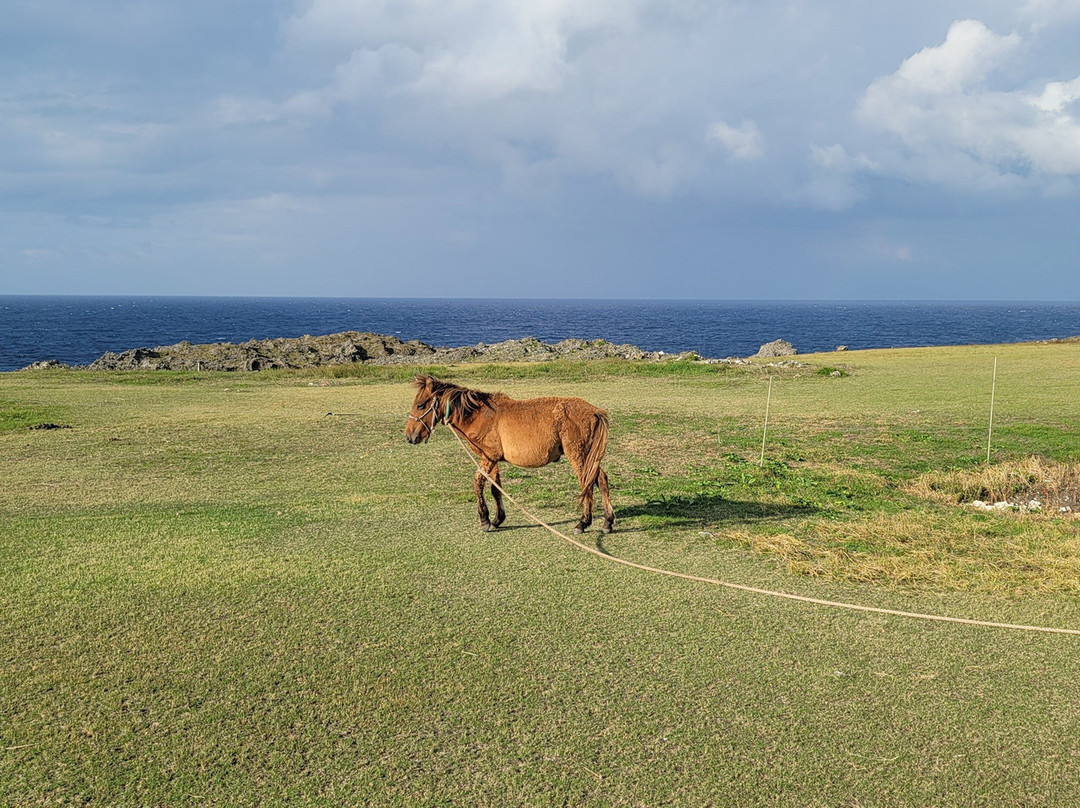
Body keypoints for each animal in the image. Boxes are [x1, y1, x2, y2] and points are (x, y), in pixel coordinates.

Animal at [403, 373, 617, 535]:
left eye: (421, 405)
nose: (409, 436)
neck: (480, 415)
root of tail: (594, 411)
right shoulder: (491, 459)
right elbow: (495, 488)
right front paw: (498, 519)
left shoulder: (488, 457)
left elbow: (478, 483)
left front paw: (485, 520)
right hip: (589, 457)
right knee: (600, 479)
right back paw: (607, 522)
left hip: (578, 456)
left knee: (586, 483)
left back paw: (583, 522)